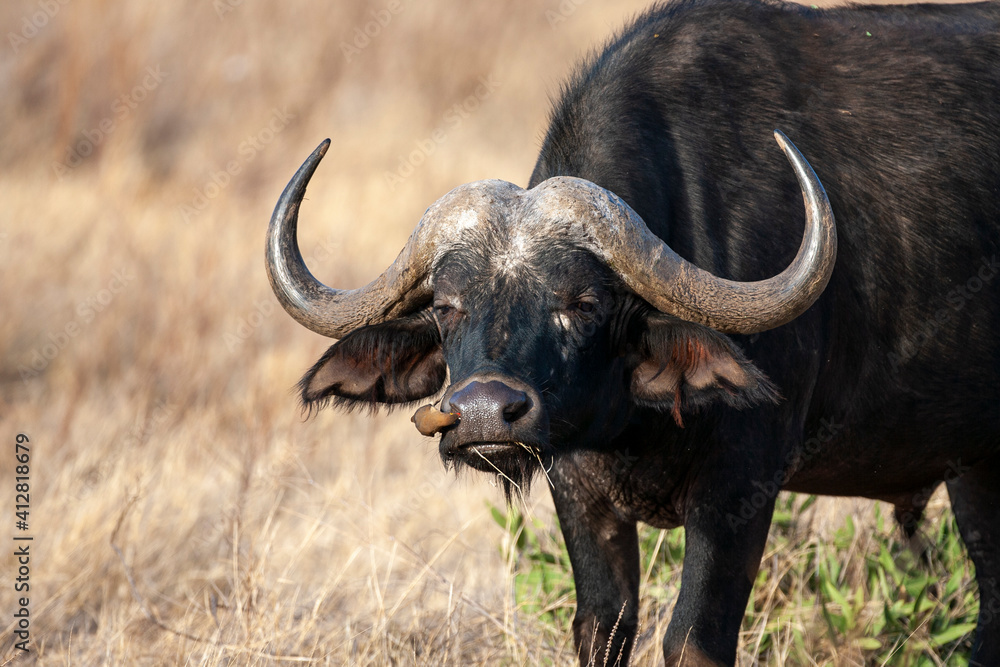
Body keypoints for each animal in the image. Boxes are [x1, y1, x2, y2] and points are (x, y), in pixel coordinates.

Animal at [266, 0, 1000, 664]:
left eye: (582, 301)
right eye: (448, 306)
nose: (483, 413)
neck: (630, 419)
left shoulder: (741, 485)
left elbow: (691, 641)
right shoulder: (578, 491)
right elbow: (602, 628)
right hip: (973, 471)